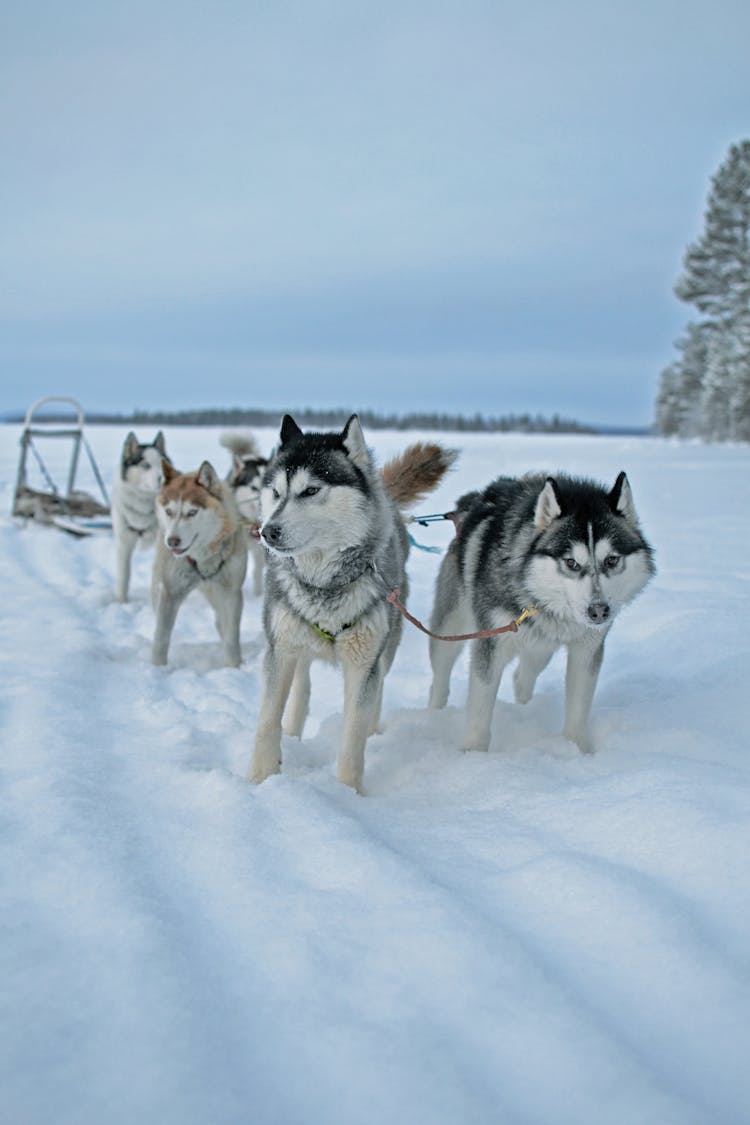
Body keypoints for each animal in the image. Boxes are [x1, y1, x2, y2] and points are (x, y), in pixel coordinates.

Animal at [111, 432, 169, 607]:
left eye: (162, 464)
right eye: (146, 465)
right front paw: (121, 602)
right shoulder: (124, 542)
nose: (163, 479)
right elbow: (124, 576)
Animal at [150, 459, 247, 661]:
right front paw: (156, 665)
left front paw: (234, 665)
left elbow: (231, 639)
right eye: (169, 511)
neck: (203, 556)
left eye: (192, 512)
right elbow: (161, 637)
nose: (172, 541)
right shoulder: (170, 593)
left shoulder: (231, 593)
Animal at [249, 414, 454, 792]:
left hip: (386, 646)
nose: (267, 532)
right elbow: (267, 722)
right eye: (276, 493)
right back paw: (293, 733)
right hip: (296, 643)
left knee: (378, 690)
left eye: (310, 491)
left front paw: (347, 792)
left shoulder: (363, 663)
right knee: (301, 687)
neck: (324, 583)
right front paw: (259, 779)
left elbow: (352, 737)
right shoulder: (279, 650)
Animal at [431, 470, 652, 751]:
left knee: (522, 677)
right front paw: (473, 753)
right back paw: (433, 712)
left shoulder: (587, 648)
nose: (599, 611)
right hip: (450, 629)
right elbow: (480, 709)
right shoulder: (491, 644)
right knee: (440, 675)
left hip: (540, 648)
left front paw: (578, 750)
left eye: (611, 560)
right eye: (571, 562)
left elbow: (578, 707)